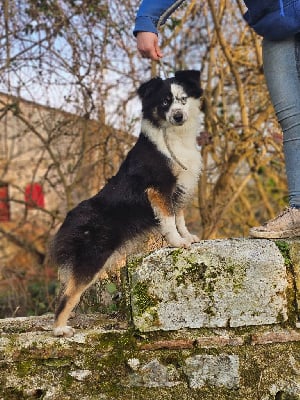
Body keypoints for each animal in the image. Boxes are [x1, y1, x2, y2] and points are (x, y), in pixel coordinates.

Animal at [51, 69, 204, 338]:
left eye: (183, 99)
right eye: (165, 102)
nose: (178, 116)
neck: (173, 138)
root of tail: (67, 221)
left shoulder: (178, 189)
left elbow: (180, 217)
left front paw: (187, 237)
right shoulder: (159, 188)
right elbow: (169, 219)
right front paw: (177, 242)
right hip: (91, 259)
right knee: (68, 296)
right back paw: (60, 329)